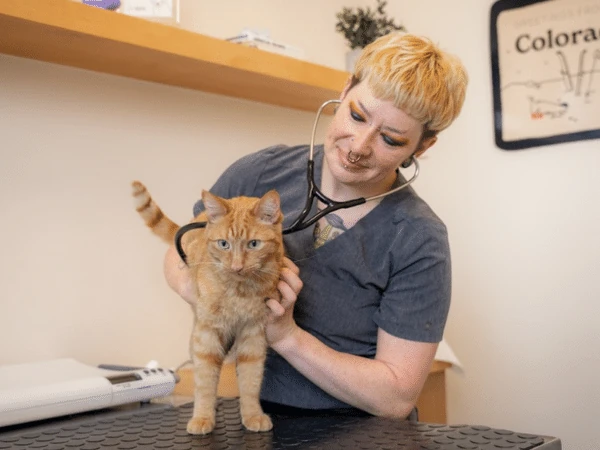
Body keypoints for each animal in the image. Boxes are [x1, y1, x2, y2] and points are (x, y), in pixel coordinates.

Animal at [131, 181, 284, 434]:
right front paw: (202, 417)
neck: (239, 290)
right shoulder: (206, 334)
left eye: (253, 244)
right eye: (224, 244)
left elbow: (250, 381)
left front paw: (253, 414)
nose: (237, 266)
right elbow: (204, 383)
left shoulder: (253, 334)